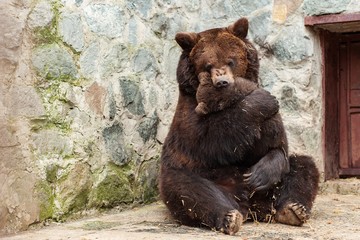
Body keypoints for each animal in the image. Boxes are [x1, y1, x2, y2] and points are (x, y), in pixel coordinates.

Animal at [159, 17, 320, 235]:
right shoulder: (189, 113)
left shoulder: (269, 122)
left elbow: (276, 146)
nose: (222, 81)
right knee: (186, 187)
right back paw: (229, 216)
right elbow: (212, 138)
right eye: (208, 64)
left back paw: (293, 209)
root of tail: (250, 207)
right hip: (199, 173)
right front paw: (260, 100)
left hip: (270, 189)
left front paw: (259, 176)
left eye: (230, 60)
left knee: (303, 167)